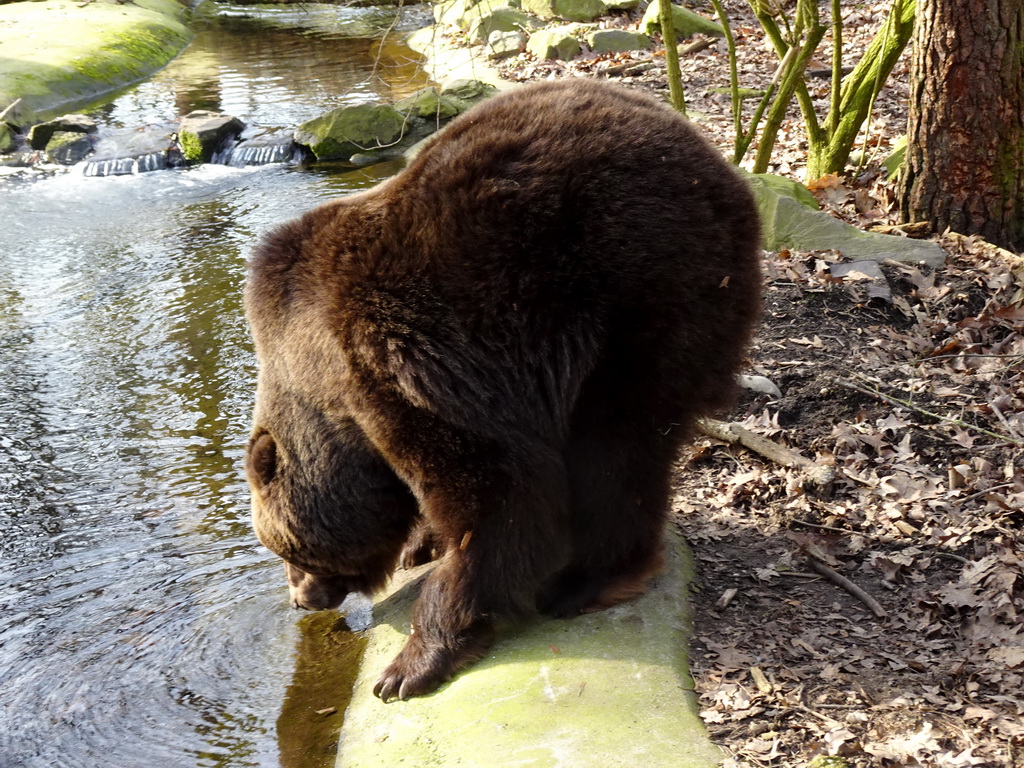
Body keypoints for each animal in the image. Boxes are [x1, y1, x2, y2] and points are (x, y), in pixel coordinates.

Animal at [243, 78, 765, 704]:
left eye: (289, 549)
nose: (300, 598)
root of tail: (723, 167)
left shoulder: (400, 363)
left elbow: (497, 494)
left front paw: (411, 663)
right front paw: (422, 544)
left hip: (639, 288)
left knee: (614, 448)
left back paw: (586, 582)